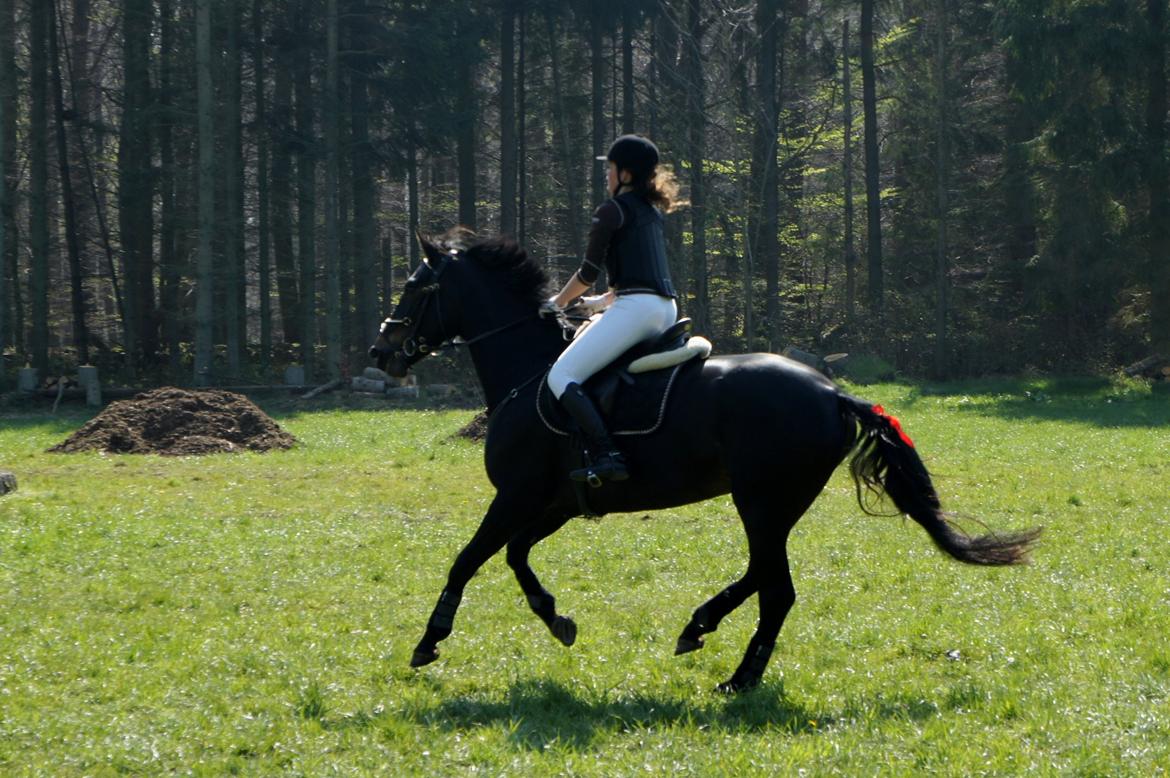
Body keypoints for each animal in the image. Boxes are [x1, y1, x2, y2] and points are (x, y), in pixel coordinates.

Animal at [369, 229, 1038, 692]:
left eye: (417, 287)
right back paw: (707, 635)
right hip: (773, 504)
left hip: (760, 501)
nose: (381, 351)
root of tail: (831, 392)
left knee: (776, 588)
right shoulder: (553, 504)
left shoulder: (514, 495)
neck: (529, 371)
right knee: (765, 578)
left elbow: (466, 560)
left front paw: (429, 642)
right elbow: (514, 557)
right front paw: (557, 619)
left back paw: (731, 669)